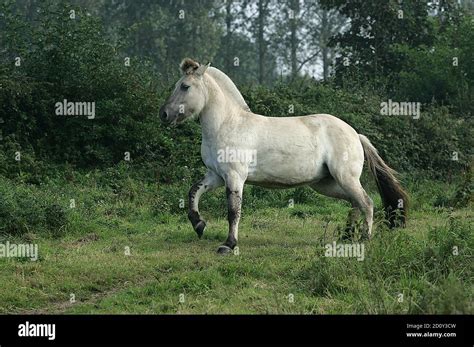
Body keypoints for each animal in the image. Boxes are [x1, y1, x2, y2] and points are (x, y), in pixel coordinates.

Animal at [159, 58, 408, 256]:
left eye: (185, 86)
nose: (164, 114)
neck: (227, 124)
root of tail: (355, 134)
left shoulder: (234, 177)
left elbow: (233, 211)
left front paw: (228, 245)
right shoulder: (216, 176)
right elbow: (193, 192)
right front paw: (199, 224)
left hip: (345, 178)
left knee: (366, 202)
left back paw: (364, 239)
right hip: (326, 183)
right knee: (355, 202)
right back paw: (346, 237)